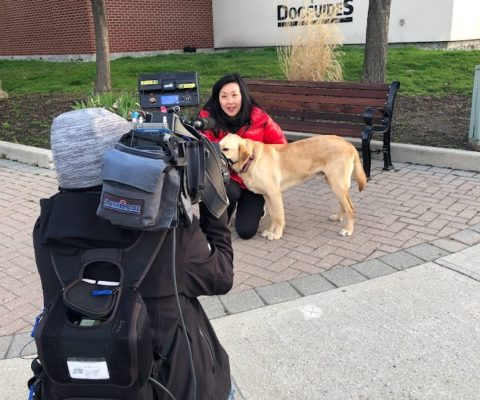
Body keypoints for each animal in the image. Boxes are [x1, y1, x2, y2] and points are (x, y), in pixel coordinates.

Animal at [219, 134, 366, 241]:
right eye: (218, 145)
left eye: (225, 149)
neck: (251, 158)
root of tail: (348, 144)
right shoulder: (267, 196)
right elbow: (273, 216)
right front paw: (271, 231)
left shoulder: (275, 194)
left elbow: (279, 217)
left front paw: (277, 234)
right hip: (334, 183)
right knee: (344, 204)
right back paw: (338, 217)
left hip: (337, 184)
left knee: (351, 208)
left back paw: (348, 230)